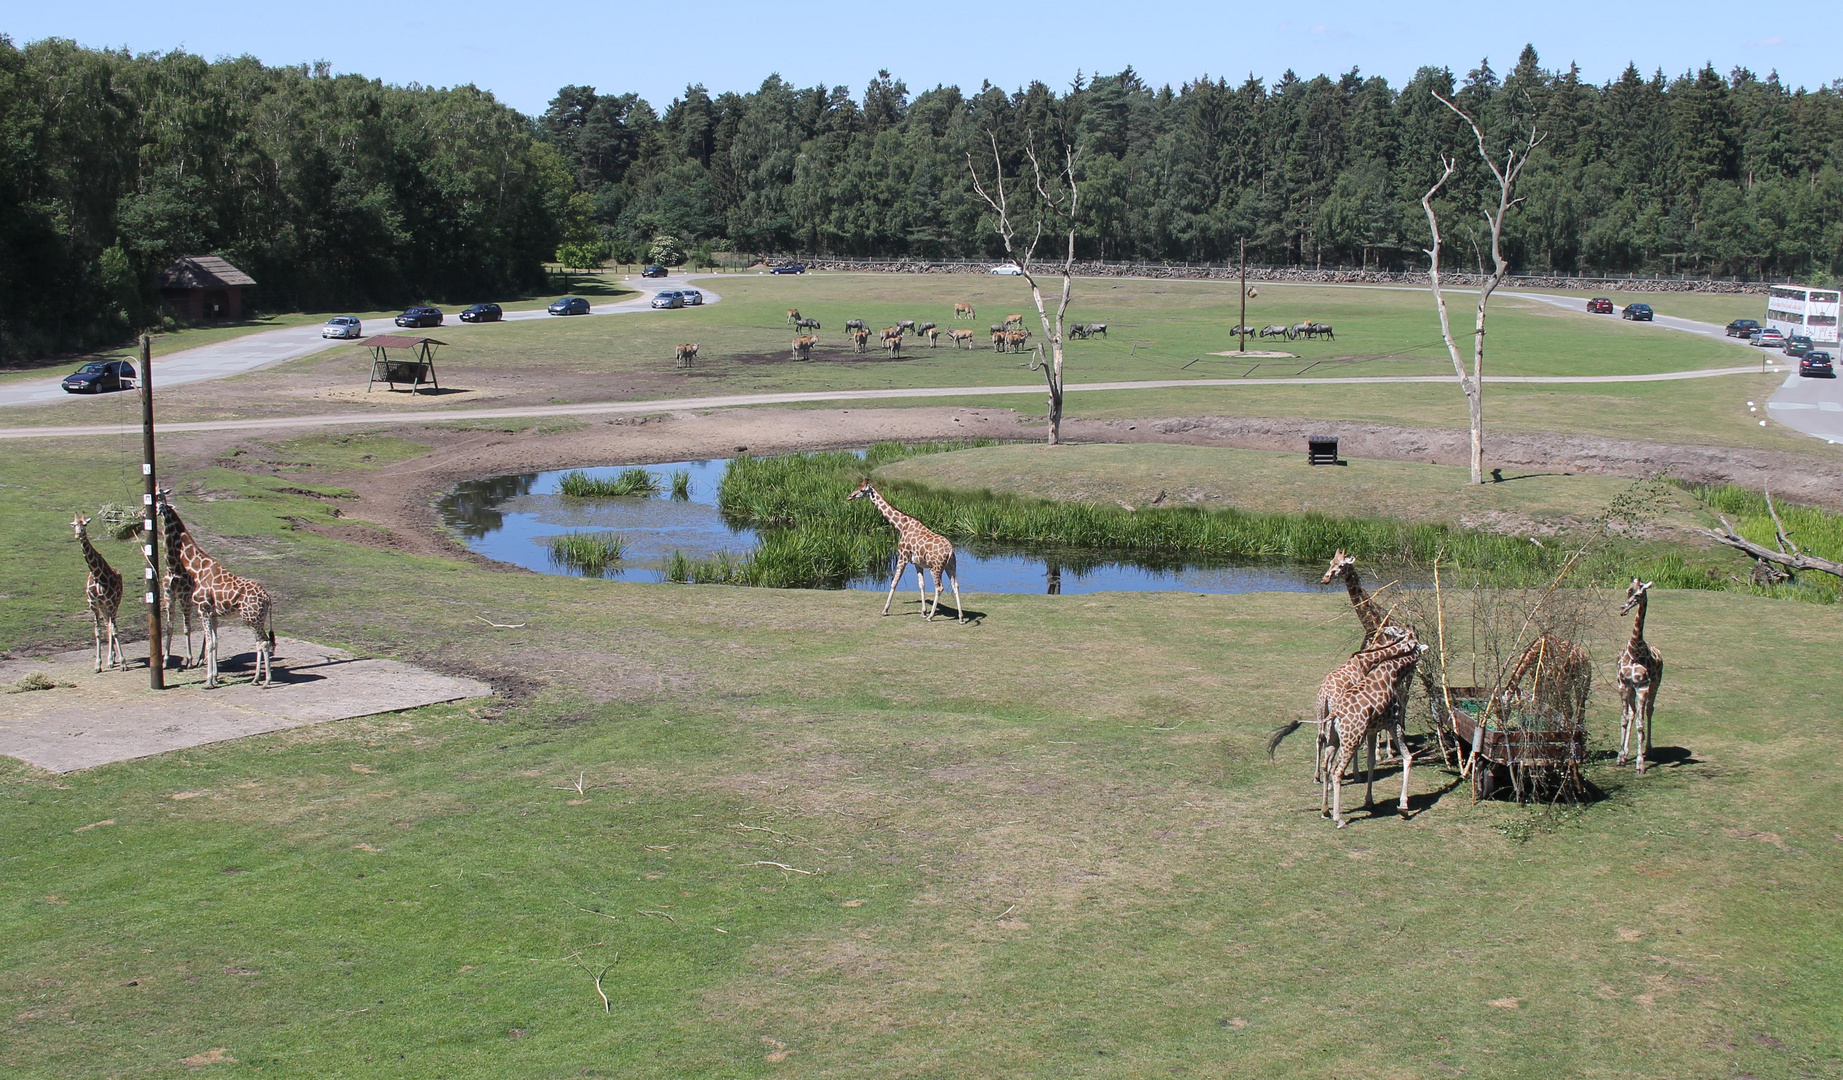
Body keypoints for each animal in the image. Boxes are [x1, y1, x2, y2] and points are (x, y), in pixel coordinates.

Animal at [157, 490, 276, 685]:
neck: (195, 568)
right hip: (257, 619)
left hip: (251, 618)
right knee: (260, 642)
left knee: (264, 642)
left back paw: (265, 680)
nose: (154, 510)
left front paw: (208, 681)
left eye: (159, 500)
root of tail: (268, 599)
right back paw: (256, 678)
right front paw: (213, 677)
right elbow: (215, 642)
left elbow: (210, 643)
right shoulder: (211, 613)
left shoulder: (203, 609)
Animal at [844, 479, 965, 622]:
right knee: (956, 585)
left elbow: (894, 582)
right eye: (857, 486)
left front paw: (885, 610)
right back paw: (961, 617)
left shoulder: (903, 556)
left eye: (862, 490)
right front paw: (923, 611)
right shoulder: (918, 563)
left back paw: (931, 617)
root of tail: (950, 550)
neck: (901, 526)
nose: (849, 496)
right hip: (951, 565)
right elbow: (921, 584)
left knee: (939, 587)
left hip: (935, 568)